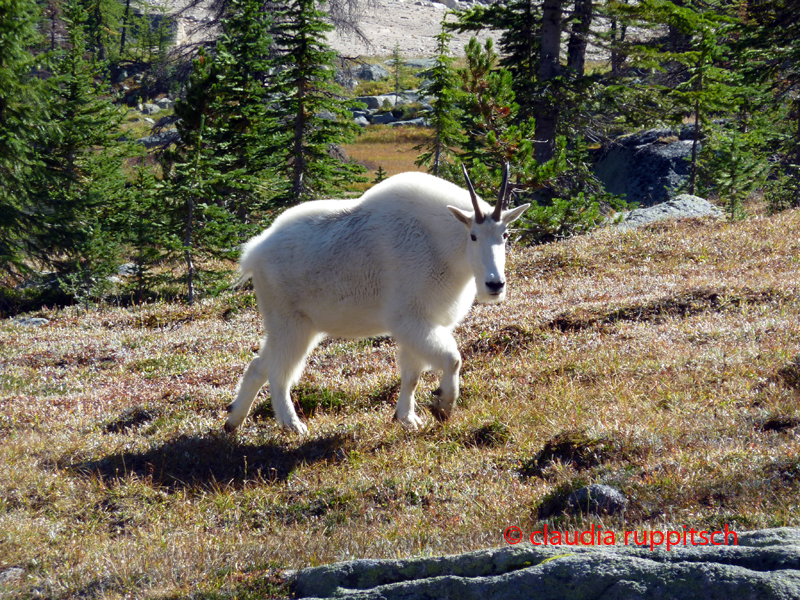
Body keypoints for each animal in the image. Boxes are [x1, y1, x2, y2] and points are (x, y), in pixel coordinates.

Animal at [223, 166, 532, 434]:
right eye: (473, 236)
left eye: (505, 234)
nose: (495, 284)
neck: (441, 245)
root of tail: (254, 251)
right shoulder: (409, 320)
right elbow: (452, 359)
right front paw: (442, 405)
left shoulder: (423, 322)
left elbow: (411, 375)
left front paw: (407, 418)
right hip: (290, 322)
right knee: (280, 373)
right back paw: (292, 424)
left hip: (297, 326)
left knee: (259, 365)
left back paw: (233, 421)